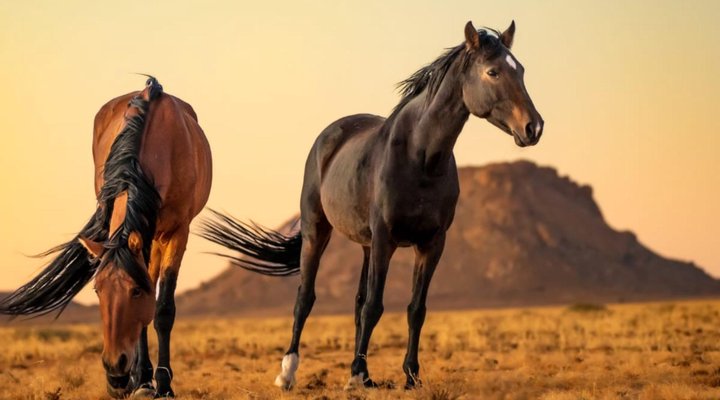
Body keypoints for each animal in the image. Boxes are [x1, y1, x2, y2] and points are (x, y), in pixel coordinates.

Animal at [0, 77, 212, 398]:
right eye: (97, 290)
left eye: (135, 292)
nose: (115, 369)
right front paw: (142, 379)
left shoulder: (178, 232)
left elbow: (162, 308)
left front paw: (163, 384)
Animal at [200, 21, 542, 390]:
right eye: (492, 71)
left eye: (521, 70)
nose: (534, 127)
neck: (421, 158)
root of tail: (331, 133)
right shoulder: (385, 239)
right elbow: (375, 307)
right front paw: (357, 374)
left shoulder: (432, 243)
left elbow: (414, 309)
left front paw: (409, 376)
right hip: (318, 231)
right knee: (305, 298)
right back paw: (289, 372)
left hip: (366, 245)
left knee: (357, 302)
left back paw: (359, 372)